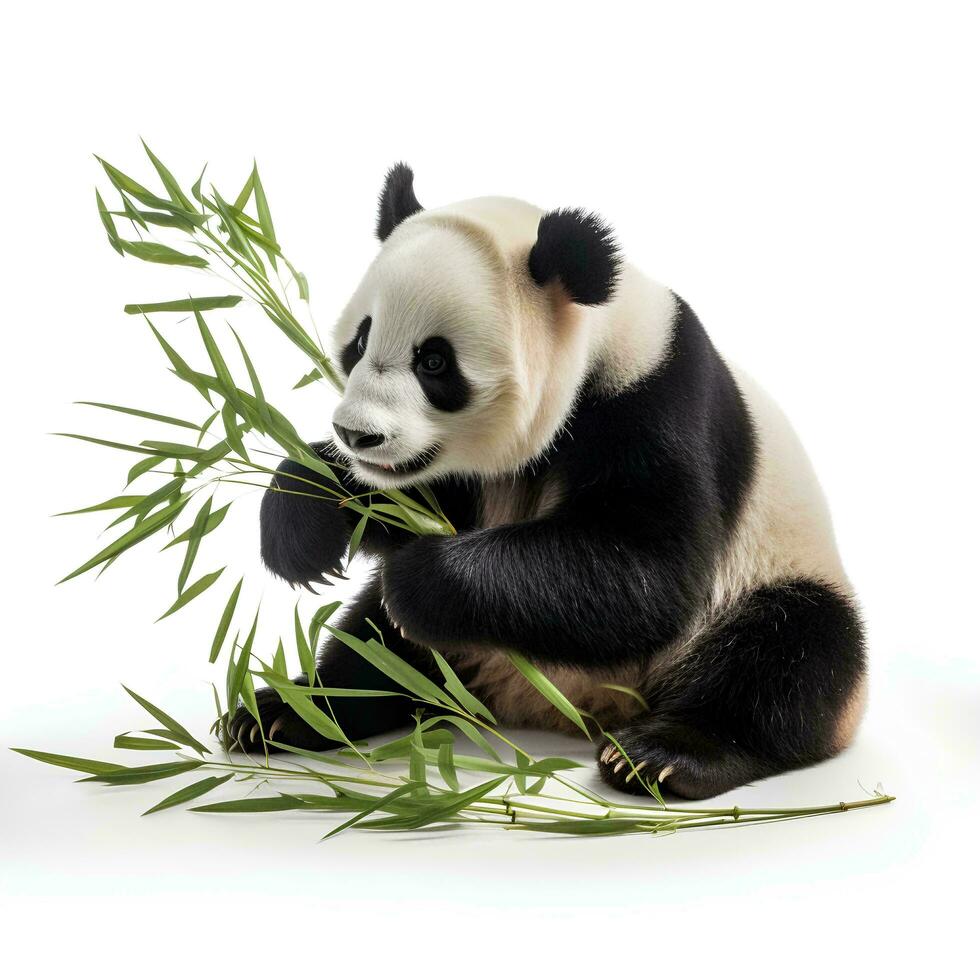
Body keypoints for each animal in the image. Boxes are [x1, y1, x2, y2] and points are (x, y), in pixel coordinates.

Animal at [228, 165, 864, 800]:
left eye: (434, 362)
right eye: (360, 341)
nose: (356, 433)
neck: (600, 336)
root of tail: (557, 704)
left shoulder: (659, 398)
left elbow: (648, 569)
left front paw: (421, 578)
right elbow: (418, 502)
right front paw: (305, 522)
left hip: (766, 579)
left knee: (788, 656)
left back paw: (659, 755)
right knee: (376, 647)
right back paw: (287, 711)